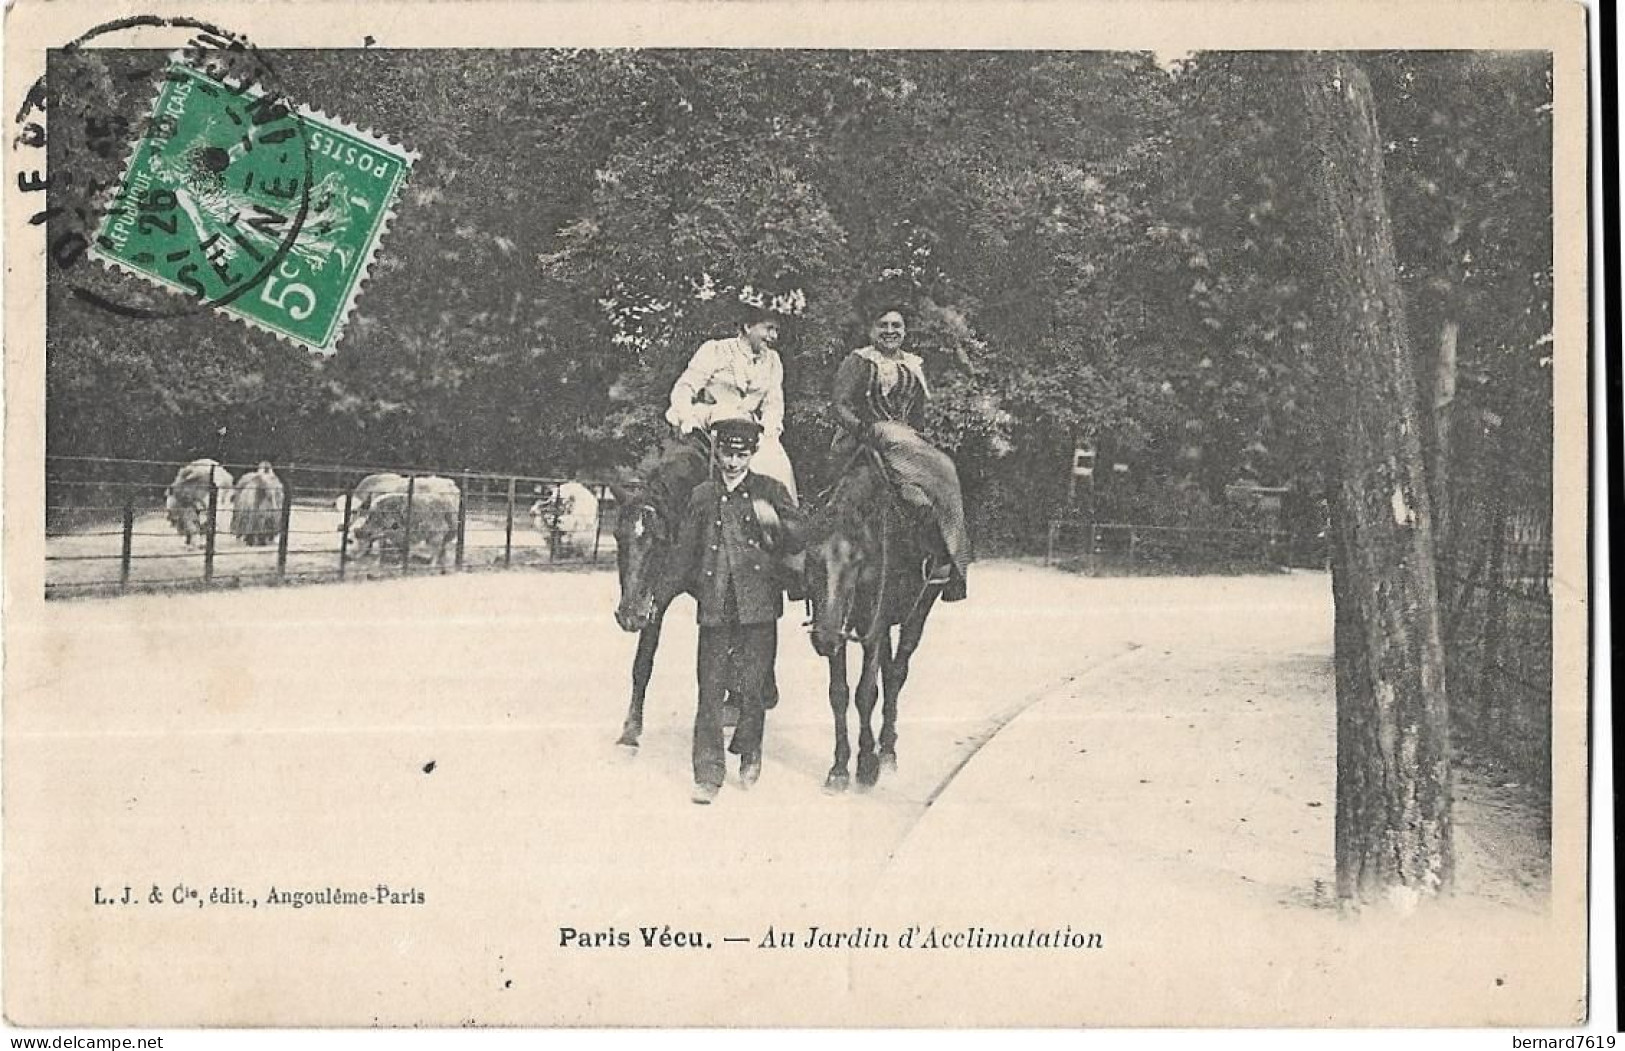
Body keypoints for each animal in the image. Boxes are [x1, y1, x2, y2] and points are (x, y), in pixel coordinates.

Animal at [611, 435, 711, 747]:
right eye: (617, 536)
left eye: (660, 540)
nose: (629, 616)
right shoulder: (657, 598)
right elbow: (642, 663)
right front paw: (630, 731)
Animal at [799, 451, 942, 789]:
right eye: (812, 558)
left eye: (856, 561)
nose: (822, 638)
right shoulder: (842, 631)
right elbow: (839, 693)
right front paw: (840, 767)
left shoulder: (872, 629)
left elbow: (866, 693)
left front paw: (866, 764)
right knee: (889, 672)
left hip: (920, 608)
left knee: (897, 673)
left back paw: (887, 749)